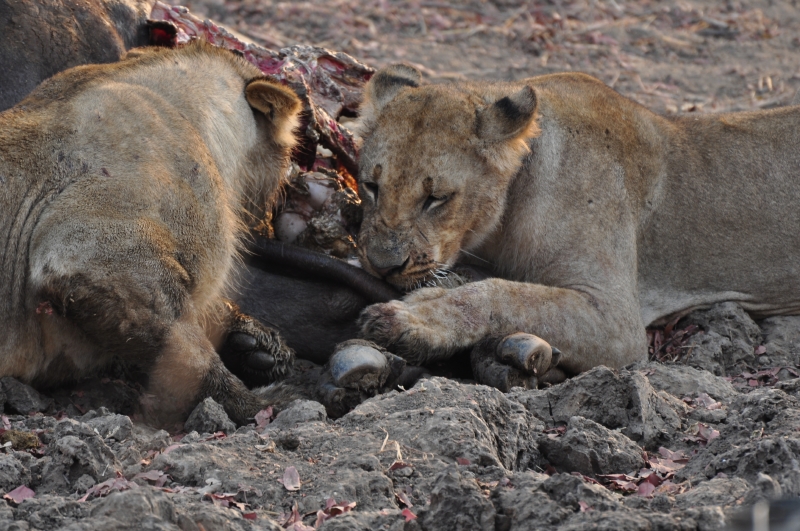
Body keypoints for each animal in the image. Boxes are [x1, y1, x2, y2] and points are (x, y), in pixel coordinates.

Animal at [353, 64, 800, 387]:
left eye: (436, 198)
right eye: (371, 186)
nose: (382, 266)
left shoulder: (618, 323)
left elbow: (506, 293)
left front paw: (414, 319)